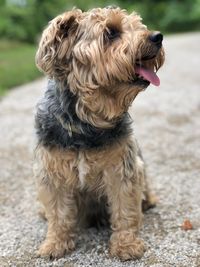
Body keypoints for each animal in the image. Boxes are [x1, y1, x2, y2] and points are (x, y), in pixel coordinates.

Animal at [34, 6, 165, 262]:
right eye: (111, 32)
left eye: (138, 25)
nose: (157, 36)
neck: (87, 120)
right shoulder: (53, 171)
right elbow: (58, 213)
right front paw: (55, 243)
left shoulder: (121, 168)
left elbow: (125, 209)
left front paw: (126, 245)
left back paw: (149, 200)